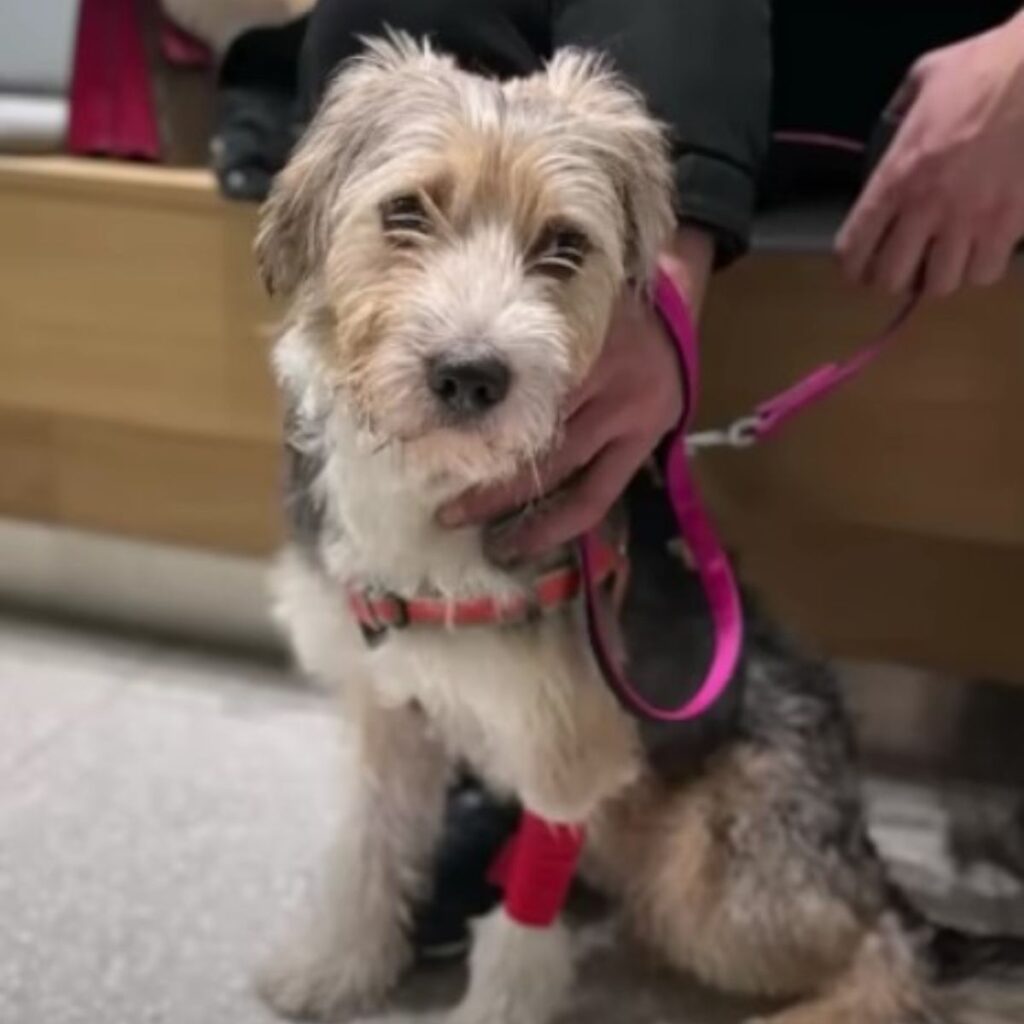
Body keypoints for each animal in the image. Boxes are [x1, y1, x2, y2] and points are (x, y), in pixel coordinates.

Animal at [256, 32, 1024, 1024]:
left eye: (564, 244)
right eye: (406, 211)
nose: (470, 375)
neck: (438, 494)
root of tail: (860, 841)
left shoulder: (569, 744)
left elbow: (522, 927)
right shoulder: (394, 715)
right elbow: (370, 850)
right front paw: (337, 964)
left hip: (716, 889)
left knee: (886, 950)